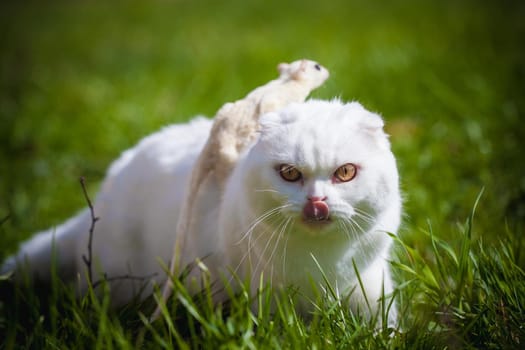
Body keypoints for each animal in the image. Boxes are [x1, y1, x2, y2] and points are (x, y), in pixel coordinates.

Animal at [1, 98, 402, 322]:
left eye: (345, 173)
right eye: (289, 173)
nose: (317, 202)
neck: (319, 260)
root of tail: (103, 196)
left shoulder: (370, 290)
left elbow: (385, 328)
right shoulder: (261, 299)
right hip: (117, 279)